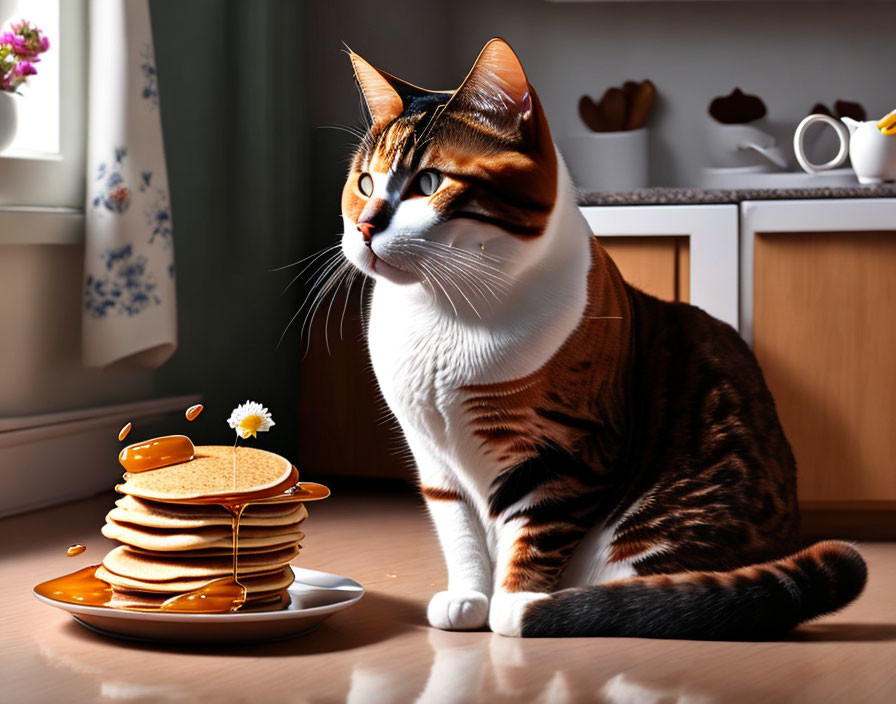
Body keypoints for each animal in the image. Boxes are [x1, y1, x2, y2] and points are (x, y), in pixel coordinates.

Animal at [338, 37, 868, 640]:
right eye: (364, 183)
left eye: (427, 183)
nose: (364, 226)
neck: (442, 314)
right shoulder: (432, 455)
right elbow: (460, 532)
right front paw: (468, 598)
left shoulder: (567, 453)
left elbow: (535, 533)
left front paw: (514, 603)